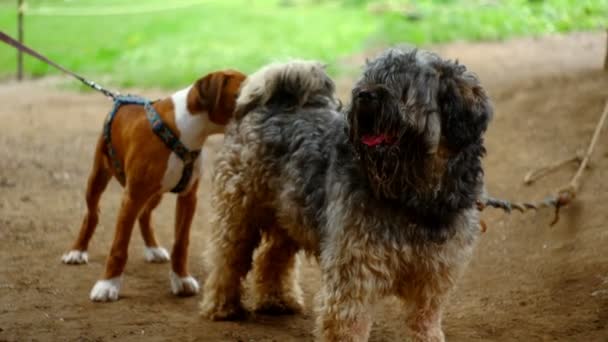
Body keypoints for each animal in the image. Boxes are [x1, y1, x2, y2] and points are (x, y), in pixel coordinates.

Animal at [201, 48, 494, 342]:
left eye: (402, 87)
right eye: (371, 78)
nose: (363, 94)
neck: (413, 196)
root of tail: (276, 102)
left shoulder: (434, 275)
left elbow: (425, 320)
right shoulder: (354, 269)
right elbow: (347, 323)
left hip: (289, 214)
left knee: (271, 256)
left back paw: (277, 300)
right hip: (239, 214)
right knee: (226, 261)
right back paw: (222, 307)